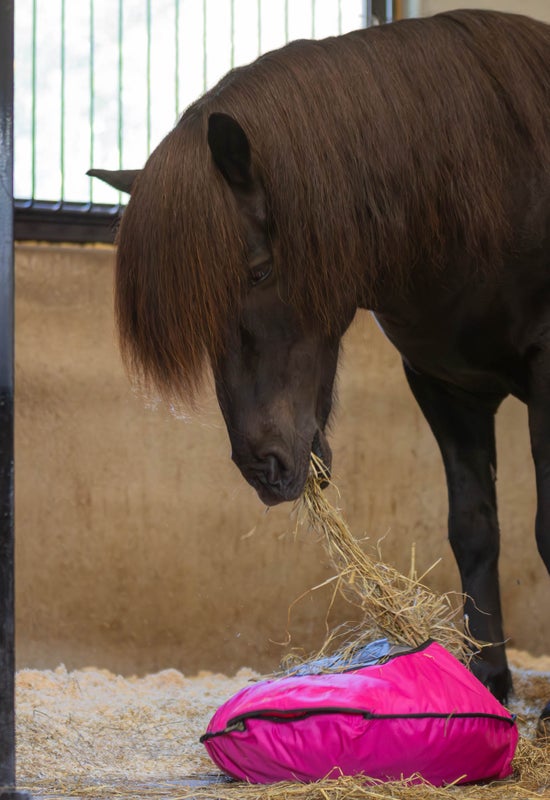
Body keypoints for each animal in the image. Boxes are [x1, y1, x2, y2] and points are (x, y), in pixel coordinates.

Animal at [89, 9, 550, 729]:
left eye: (257, 271)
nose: (263, 467)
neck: (494, 181)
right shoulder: (445, 385)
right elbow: (474, 529)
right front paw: (488, 681)